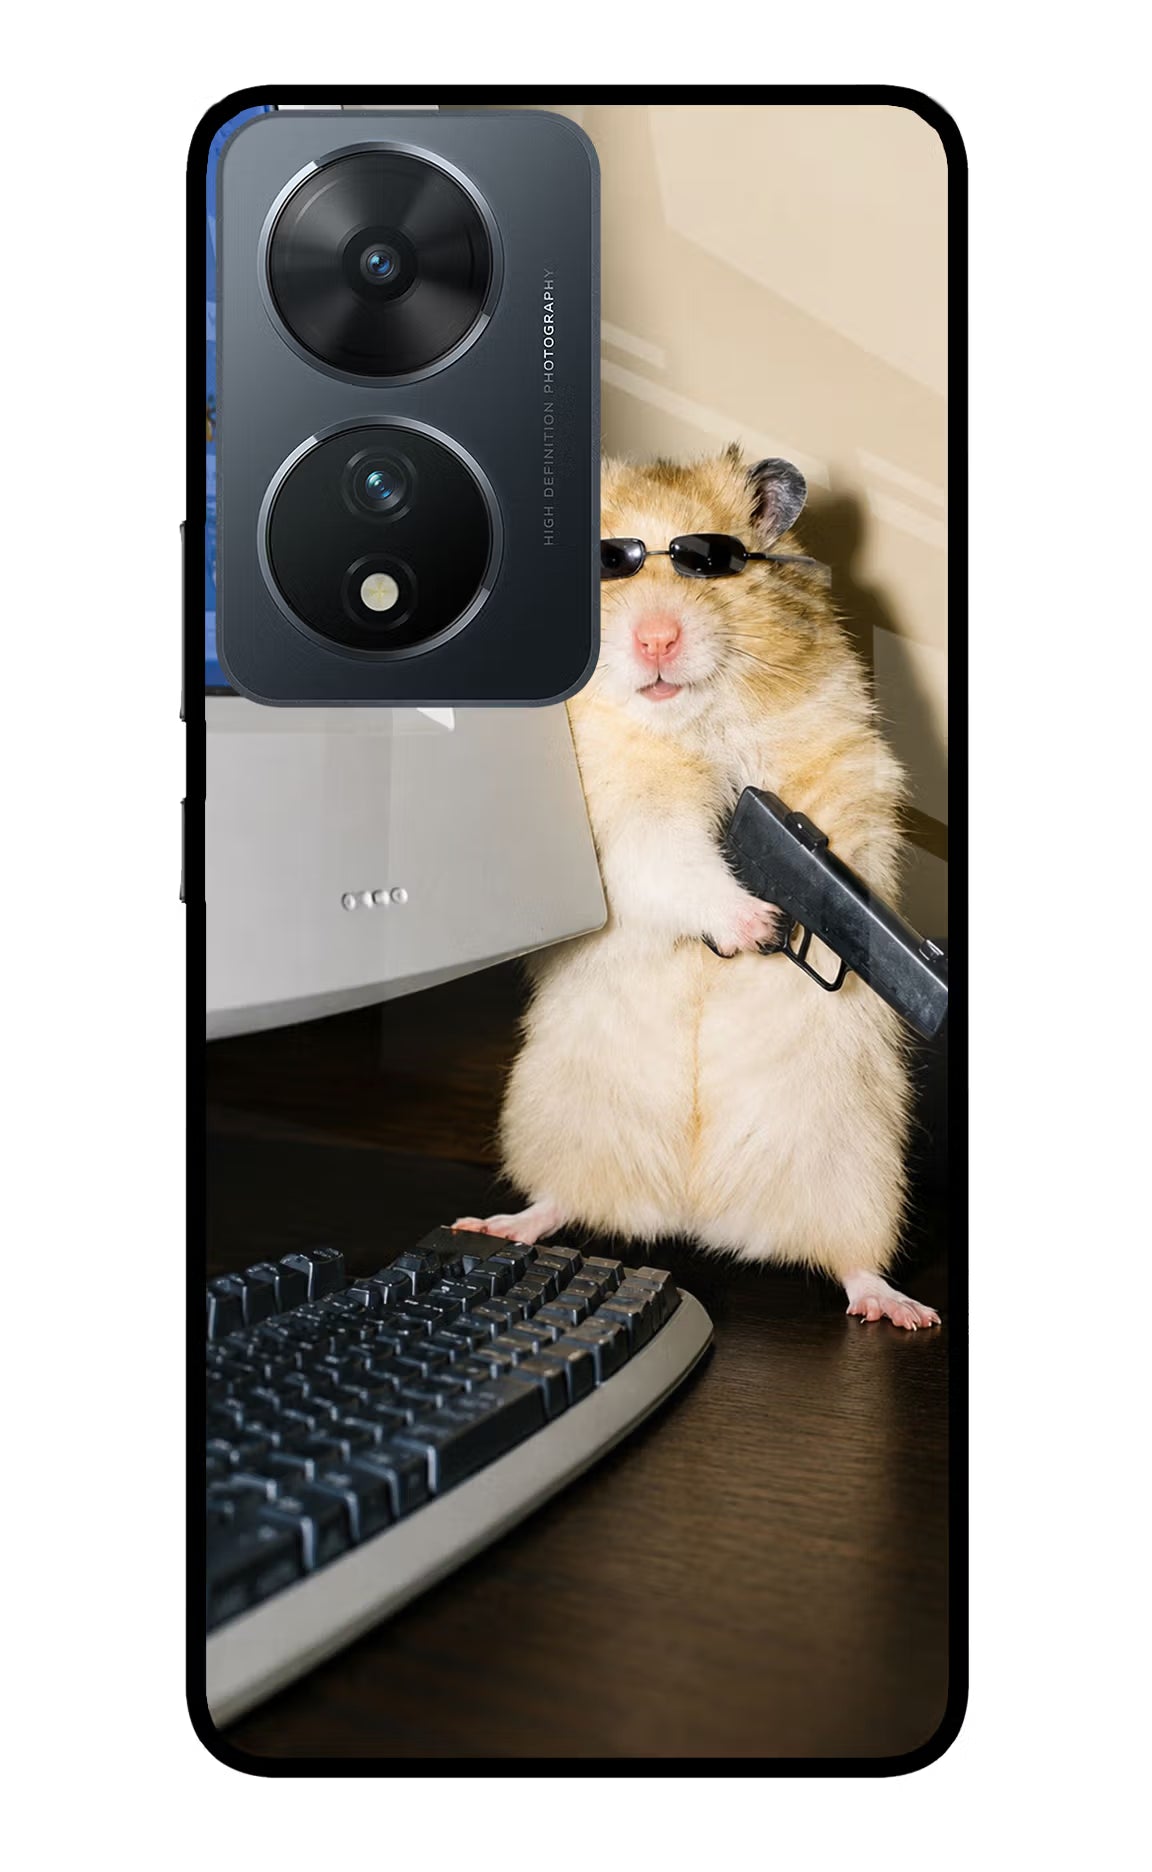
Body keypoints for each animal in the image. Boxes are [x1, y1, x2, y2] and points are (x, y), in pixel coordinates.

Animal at [457, 446, 940, 1329]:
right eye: (605, 565)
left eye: (710, 563)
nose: (656, 638)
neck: (688, 723)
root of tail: (694, 1212)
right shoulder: (622, 821)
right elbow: (675, 862)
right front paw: (757, 925)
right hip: (557, 1119)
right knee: (561, 1200)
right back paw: (498, 1223)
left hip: (856, 1168)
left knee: (852, 1261)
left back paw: (901, 1309)